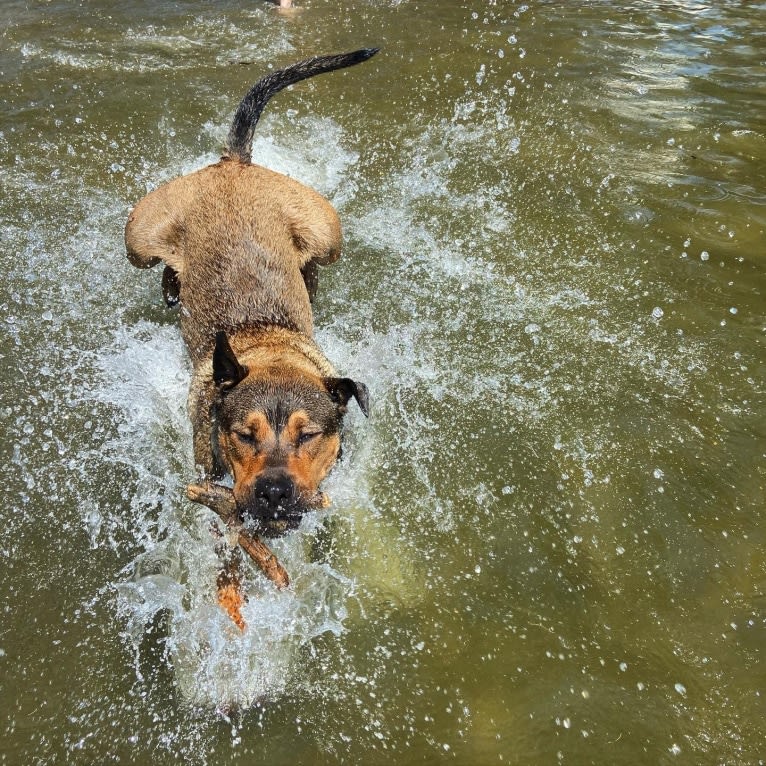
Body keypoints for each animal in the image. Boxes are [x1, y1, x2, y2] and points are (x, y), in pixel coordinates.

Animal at [124, 51, 378, 536]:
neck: (268, 342)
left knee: (313, 260)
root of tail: (234, 163)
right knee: (161, 263)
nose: (274, 491)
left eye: (308, 435)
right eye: (244, 434)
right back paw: (173, 285)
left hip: (327, 232)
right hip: (139, 239)